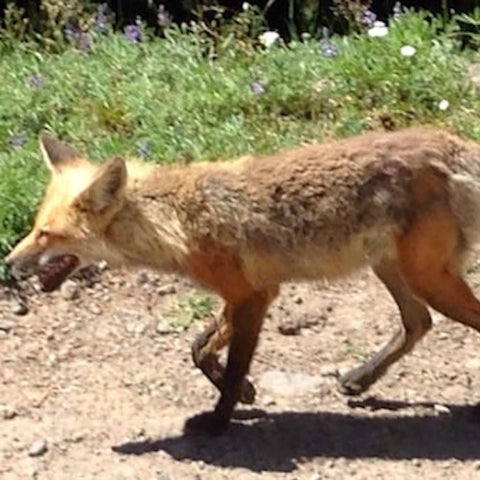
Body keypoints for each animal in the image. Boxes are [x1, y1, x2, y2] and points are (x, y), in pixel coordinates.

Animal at [5, 128, 480, 436]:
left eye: (47, 235)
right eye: (34, 228)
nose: (9, 263)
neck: (174, 219)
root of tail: (454, 143)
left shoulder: (253, 296)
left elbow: (232, 367)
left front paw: (218, 421)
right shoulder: (242, 294)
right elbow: (199, 349)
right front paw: (246, 395)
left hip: (427, 278)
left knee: (431, 319)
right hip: (393, 269)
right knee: (418, 322)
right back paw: (361, 378)